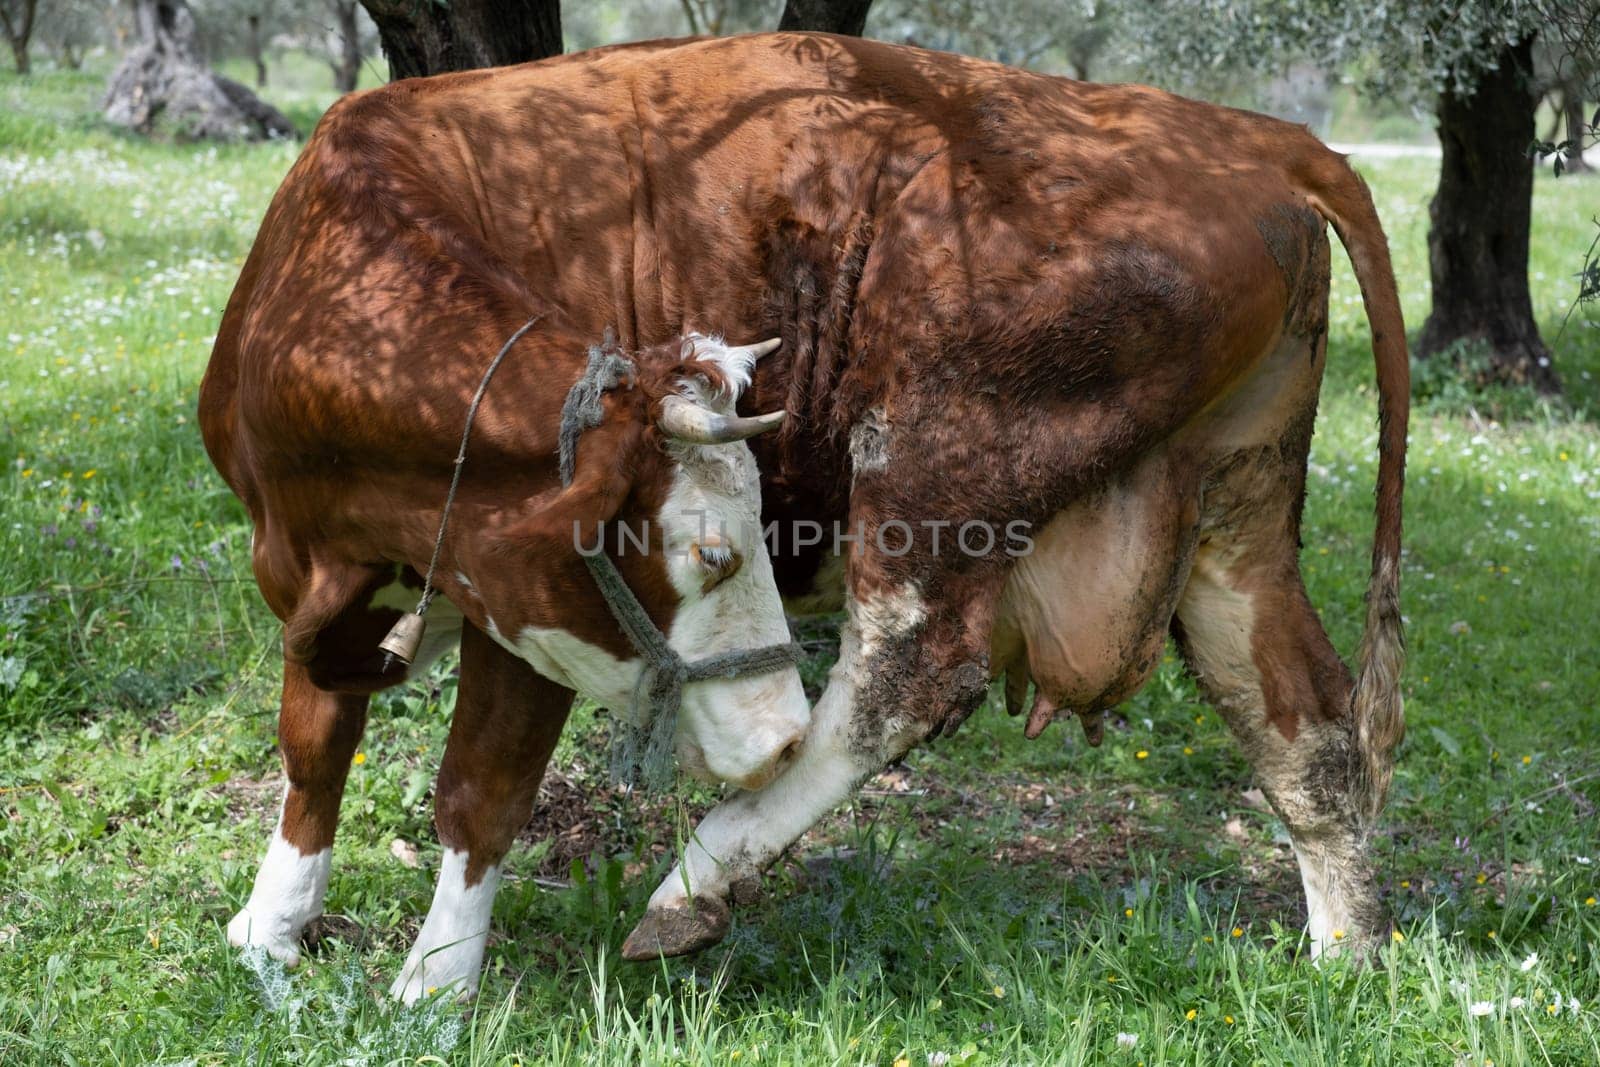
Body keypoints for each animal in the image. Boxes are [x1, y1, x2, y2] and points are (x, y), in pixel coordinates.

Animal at [196, 29, 1401, 1004]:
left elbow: (479, 791)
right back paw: (1343, 958)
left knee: (906, 676)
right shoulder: (308, 573)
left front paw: (434, 984)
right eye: (710, 553)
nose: (774, 734)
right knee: (1302, 718)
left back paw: (692, 880)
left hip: (939, 461)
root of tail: (1248, 132)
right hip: (1232, 505)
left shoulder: (520, 608)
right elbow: (314, 742)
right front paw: (272, 927)